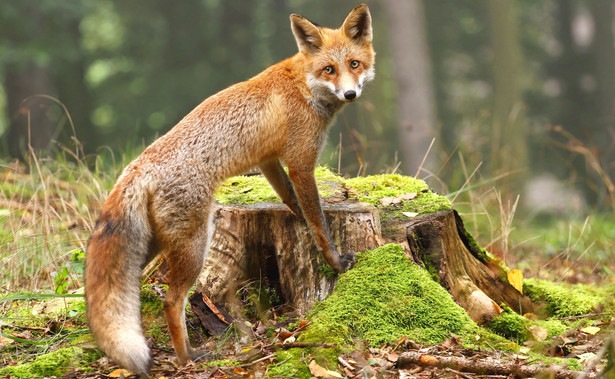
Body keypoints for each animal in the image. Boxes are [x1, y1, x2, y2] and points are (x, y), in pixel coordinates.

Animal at [85, 4, 376, 376]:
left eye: (354, 64)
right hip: (196, 243)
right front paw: (336, 261)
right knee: (171, 301)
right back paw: (187, 358)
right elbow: (320, 224)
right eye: (329, 69)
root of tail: (139, 164)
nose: (350, 94)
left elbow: (294, 203)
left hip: (152, 245)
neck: (304, 85)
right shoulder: (300, 163)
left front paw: (304, 222)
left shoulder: (269, 161)